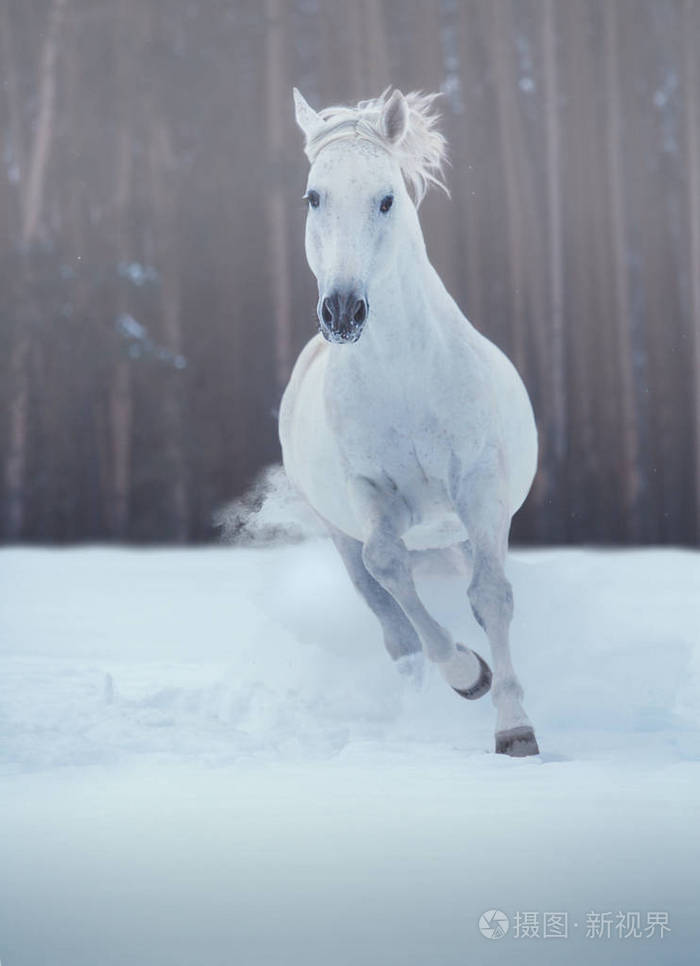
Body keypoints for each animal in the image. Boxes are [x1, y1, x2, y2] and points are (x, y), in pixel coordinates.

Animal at [279, 87, 540, 757]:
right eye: (313, 196)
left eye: (386, 198)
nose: (343, 311)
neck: (405, 377)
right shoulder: (368, 493)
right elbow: (389, 568)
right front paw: (468, 675)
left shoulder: (478, 486)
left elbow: (490, 596)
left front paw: (515, 728)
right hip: (340, 531)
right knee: (391, 625)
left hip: (462, 528)